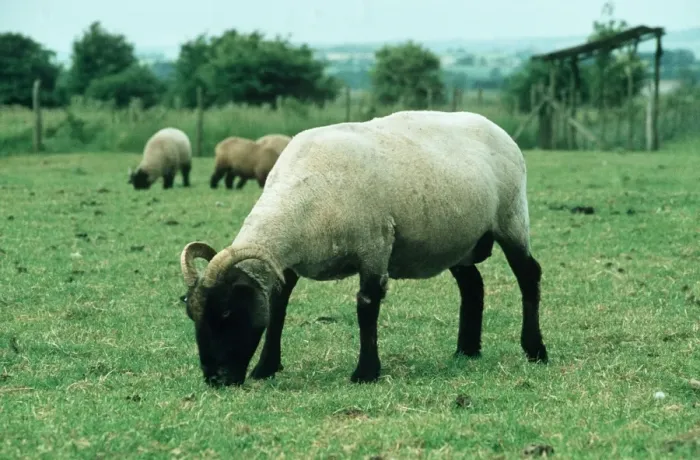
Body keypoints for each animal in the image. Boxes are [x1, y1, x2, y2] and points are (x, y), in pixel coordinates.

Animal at [179, 110, 548, 387]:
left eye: (227, 312)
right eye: (192, 315)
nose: (215, 380)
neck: (300, 199)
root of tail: (496, 127)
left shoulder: (375, 247)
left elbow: (366, 307)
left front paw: (365, 373)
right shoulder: (286, 265)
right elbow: (277, 308)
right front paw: (265, 368)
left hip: (512, 219)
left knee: (528, 275)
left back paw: (535, 350)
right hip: (457, 241)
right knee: (472, 286)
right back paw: (466, 351)